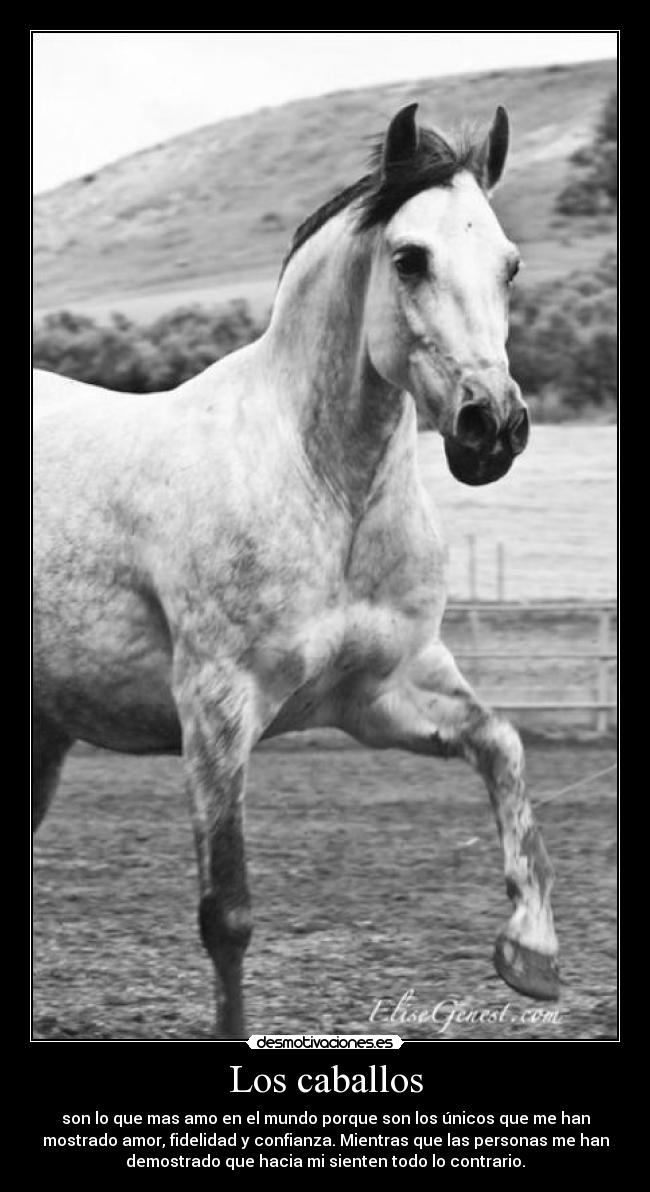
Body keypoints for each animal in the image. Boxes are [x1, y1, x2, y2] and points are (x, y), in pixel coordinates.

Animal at [33, 102, 559, 1039]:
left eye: (510, 264)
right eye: (410, 257)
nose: (492, 428)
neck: (321, 486)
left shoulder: (379, 693)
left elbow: (503, 745)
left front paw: (531, 952)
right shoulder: (216, 710)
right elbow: (227, 914)